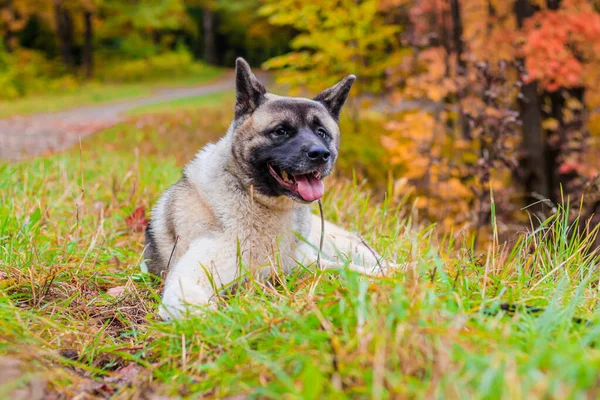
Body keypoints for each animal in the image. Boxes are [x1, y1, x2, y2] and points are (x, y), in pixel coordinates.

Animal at [146, 57, 394, 320]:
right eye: (281, 131)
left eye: (321, 132)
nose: (320, 154)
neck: (258, 201)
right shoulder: (191, 276)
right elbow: (193, 302)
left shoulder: (306, 264)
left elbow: (351, 270)